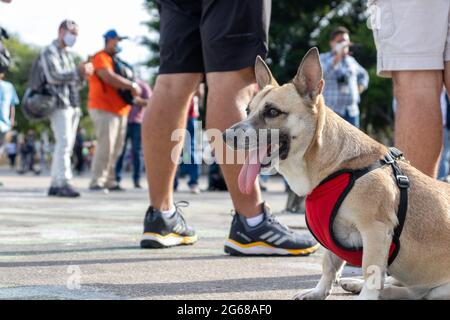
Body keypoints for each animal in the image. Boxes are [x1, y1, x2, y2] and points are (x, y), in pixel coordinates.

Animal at [224, 48, 450, 300]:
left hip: (439, 289)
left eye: (272, 112)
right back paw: (356, 284)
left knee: (412, 292)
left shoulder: (375, 231)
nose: (226, 135)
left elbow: (371, 270)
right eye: (247, 110)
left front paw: (366, 296)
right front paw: (319, 291)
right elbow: (329, 264)